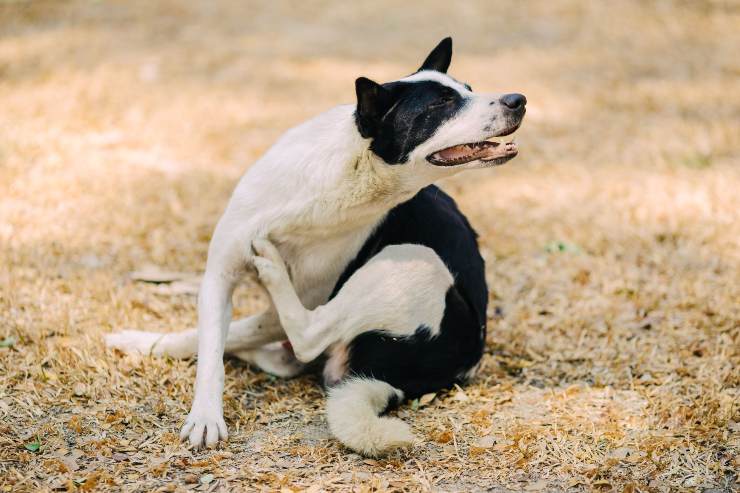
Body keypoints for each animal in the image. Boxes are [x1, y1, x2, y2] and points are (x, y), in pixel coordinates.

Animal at [108, 38, 528, 458]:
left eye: (468, 90)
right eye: (443, 103)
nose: (519, 99)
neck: (347, 175)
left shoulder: (303, 298)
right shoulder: (220, 274)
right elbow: (211, 348)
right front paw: (202, 411)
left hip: (414, 260)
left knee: (307, 337)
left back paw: (271, 269)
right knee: (280, 352)